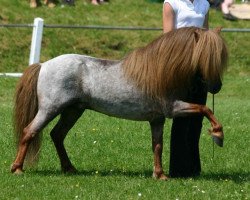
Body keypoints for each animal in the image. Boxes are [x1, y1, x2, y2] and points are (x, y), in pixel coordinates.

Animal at [10, 27, 228, 180]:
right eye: (206, 56)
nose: (217, 87)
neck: (161, 72)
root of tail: (43, 65)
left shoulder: (157, 118)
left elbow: (157, 145)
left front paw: (159, 175)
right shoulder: (173, 108)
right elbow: (205, 108)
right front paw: (218, 135)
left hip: (73, 111)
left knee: (57, 135)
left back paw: (69, 168)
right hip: (50, 109)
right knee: (29, 131)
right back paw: (17, 169)